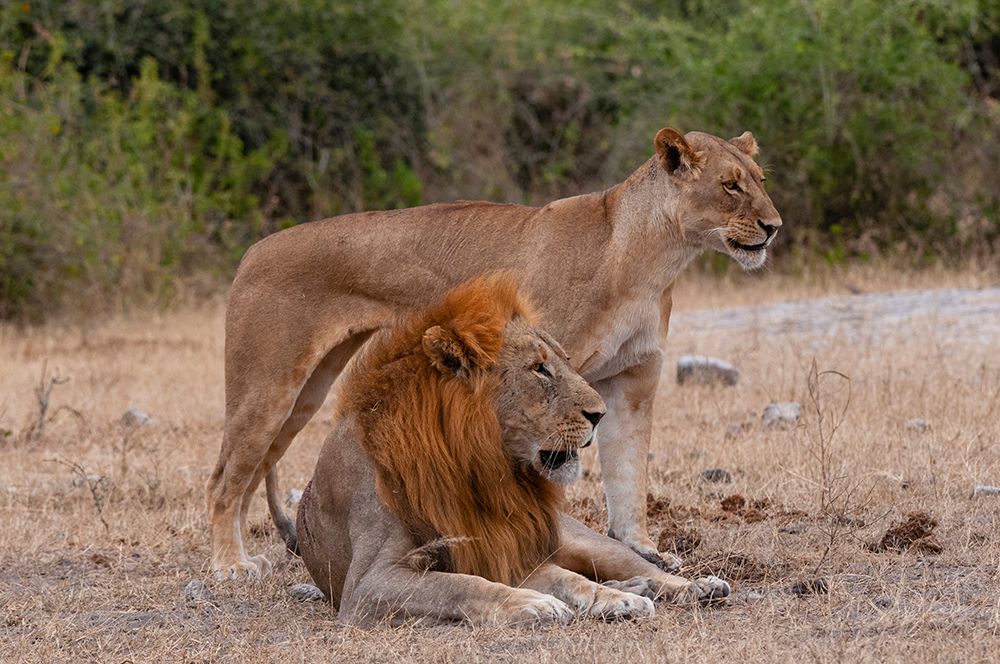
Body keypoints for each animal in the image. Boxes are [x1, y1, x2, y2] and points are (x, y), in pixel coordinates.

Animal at [208, 127, 782, 578]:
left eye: (760, 180)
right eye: (731, 185)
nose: (774, 227)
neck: (652, 260)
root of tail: (252, 251)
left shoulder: (635, 381)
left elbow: (629, 474)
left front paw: (645, 550)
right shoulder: (547, 375)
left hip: (307, 390)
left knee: (253, 469)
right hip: (267, 385)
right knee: (223, 478)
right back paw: (230, 566)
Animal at [283, 274, 729, 625]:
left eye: (564, 361)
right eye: (540, 369)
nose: (601, 414)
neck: (477, 467)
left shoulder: (508, 548)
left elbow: (560, 579)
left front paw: (589, 599)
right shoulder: (368, 584)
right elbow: (459, 585)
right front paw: (535, 603)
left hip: (582, 540)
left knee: (632, 567)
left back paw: (687, 587)